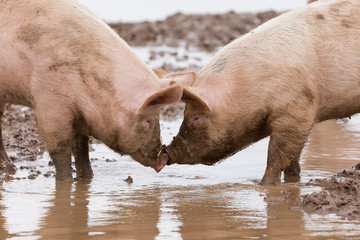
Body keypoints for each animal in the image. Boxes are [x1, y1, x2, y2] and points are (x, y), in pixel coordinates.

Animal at [0, 0, 181, 181]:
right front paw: (65, 181)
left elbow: (82, 145)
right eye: (149, 121)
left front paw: (87, 177)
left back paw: (8, 167)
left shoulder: (80, 114)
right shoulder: (49, 101)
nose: (164, 160)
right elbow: (60, 147)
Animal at [162, 0, 360, 186]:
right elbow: (293, 158)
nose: (166, 150)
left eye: (195, 117)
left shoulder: (297, 110)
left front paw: (264, 185)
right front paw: (293, 179)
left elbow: (277, 153)